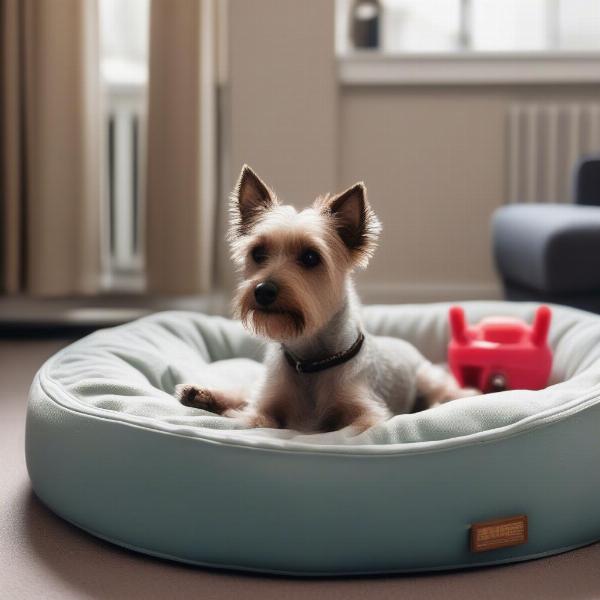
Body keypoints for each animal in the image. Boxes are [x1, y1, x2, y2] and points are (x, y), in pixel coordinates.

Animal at [176, 166, 476, 434]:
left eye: (311, 257)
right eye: (258, 253)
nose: (263, 290)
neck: (311, 361)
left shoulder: (367, 415)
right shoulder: (267, 404)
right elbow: (257, 416)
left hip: (427, 378)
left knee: (445, 391)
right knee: (245, 393)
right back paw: (200, 394)